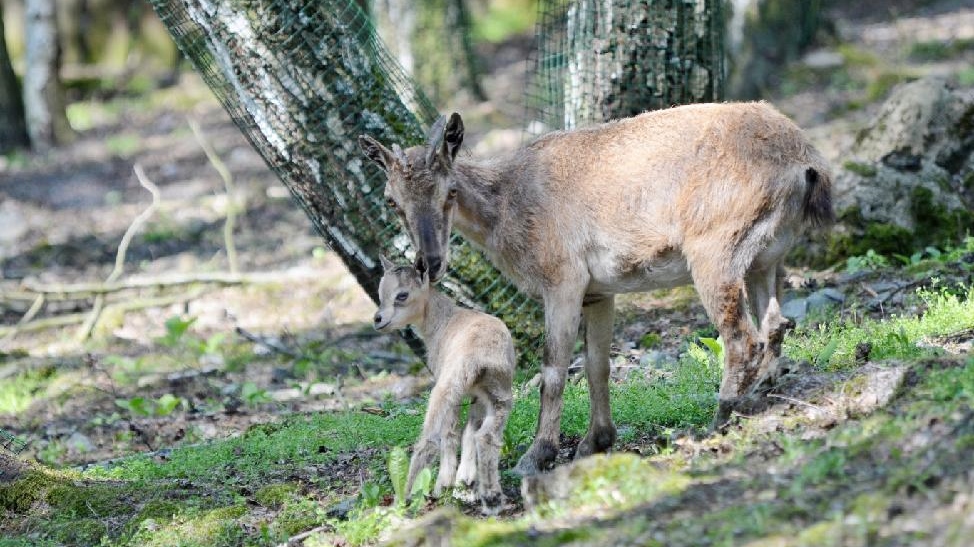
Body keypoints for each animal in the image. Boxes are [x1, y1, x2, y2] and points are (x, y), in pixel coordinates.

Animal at [372, 256, 520, 512]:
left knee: (431, 438)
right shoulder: (476, 394)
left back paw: (407, 496)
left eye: (402, 295)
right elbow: (470, 430)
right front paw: (465, 481)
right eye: (381, 294)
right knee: (486, 436)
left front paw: (447, 484)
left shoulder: (451, 386)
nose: (378, 319)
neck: (444, 321)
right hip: (500, 392)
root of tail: (479, 358)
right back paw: (492, 498)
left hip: (447, 387)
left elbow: (451, 431)